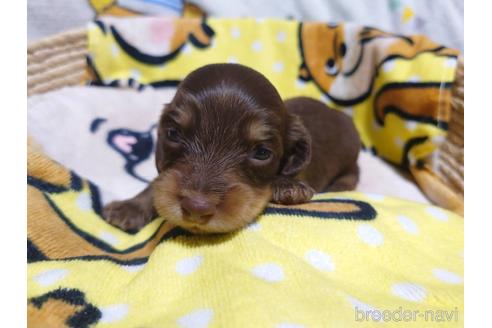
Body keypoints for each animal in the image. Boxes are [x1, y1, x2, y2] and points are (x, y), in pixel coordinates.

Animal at [104, 63, 360, 233]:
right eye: (174, 134)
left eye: (262, 153)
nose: (196, 208)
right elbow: (159, 182)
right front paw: (129, 207)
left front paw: (288, 185)